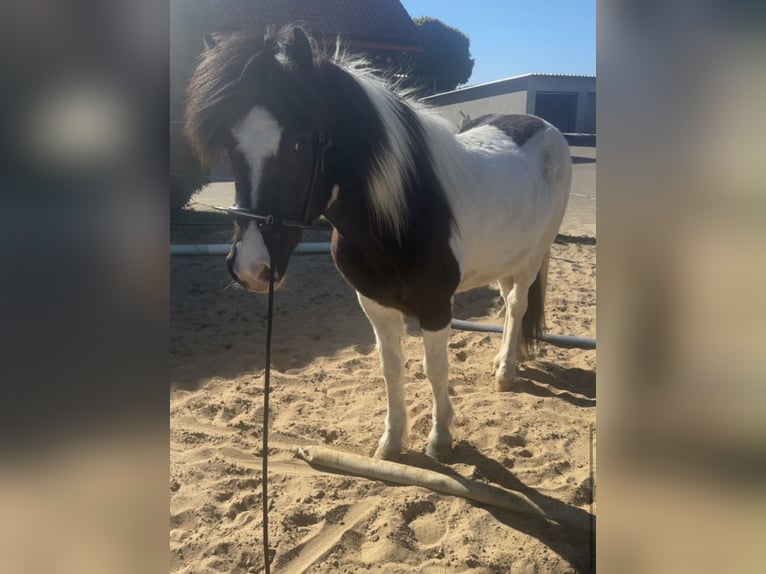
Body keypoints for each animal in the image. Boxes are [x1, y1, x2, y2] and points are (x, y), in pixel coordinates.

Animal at [184, 26, 571, 460]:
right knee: (507, 306)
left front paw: (440, 440)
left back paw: (506, 372)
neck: (400, 215)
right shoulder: (374, 303)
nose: (250, 268)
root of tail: (544, 126)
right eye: (231, 147)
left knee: (517, 304)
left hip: (532, 257)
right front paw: (392, 442)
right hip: (506, 258)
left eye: (299, 143)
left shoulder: (436, 307)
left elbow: (435, 369)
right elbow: (392, 368)